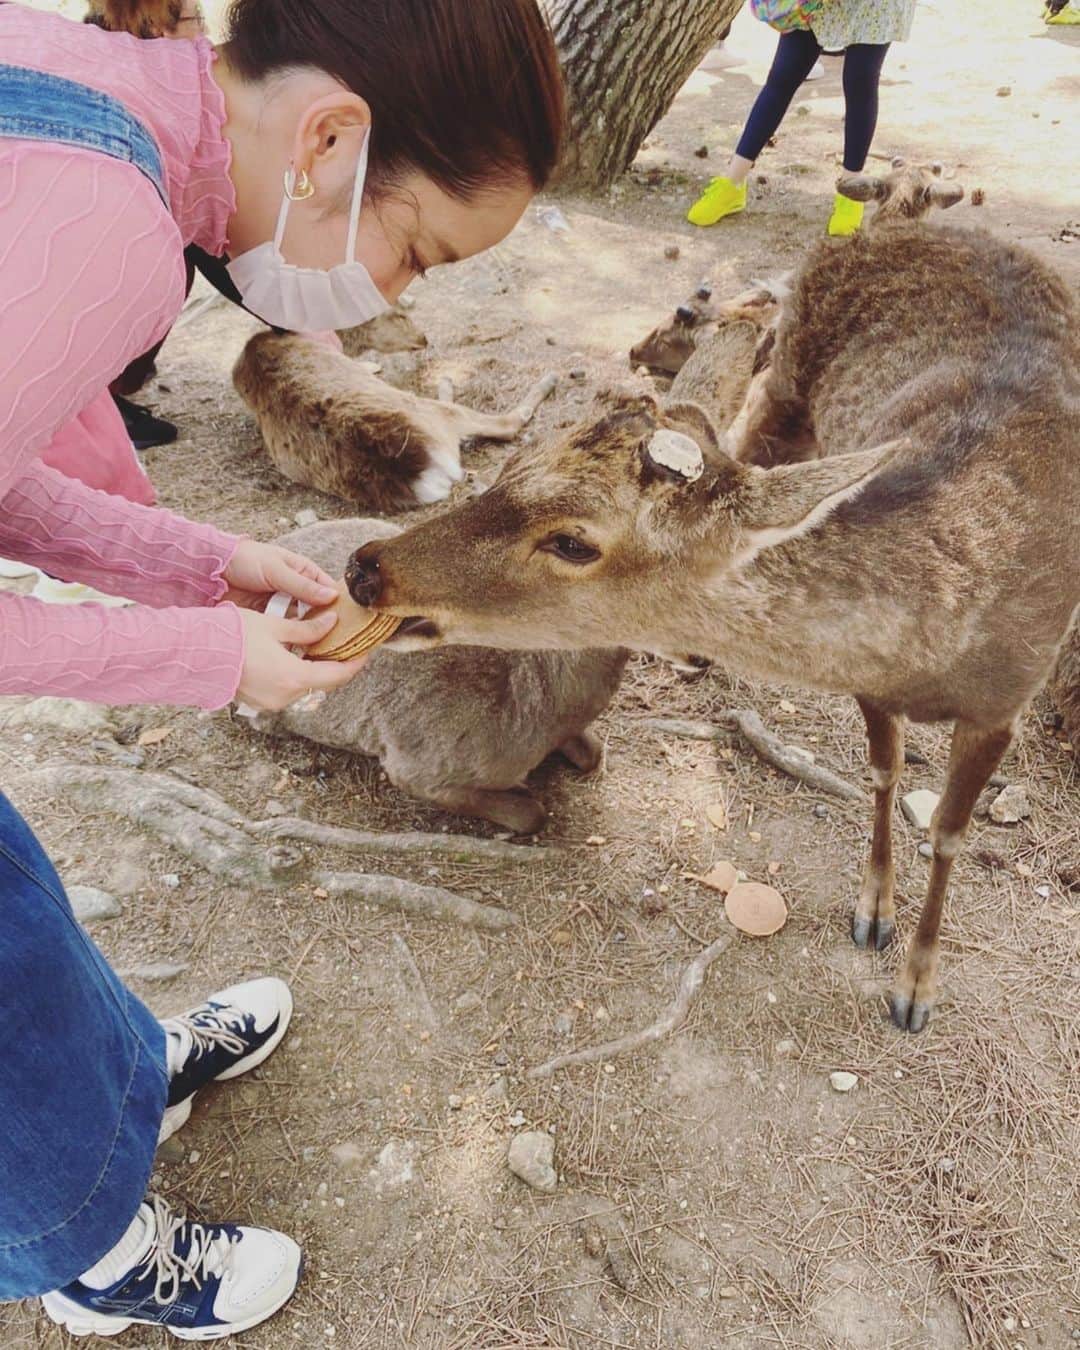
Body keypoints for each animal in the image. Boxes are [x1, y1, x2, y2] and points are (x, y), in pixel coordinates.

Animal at [341, 220, 1080, 1033]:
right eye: (512, 468)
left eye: (573, 542)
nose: (365, 568)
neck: (931, 653)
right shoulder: (872, 687)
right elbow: (884, 771)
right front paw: (873, 911)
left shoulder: (1004, 704)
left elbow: (948, 830)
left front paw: (915, 989)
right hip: (788, 389)